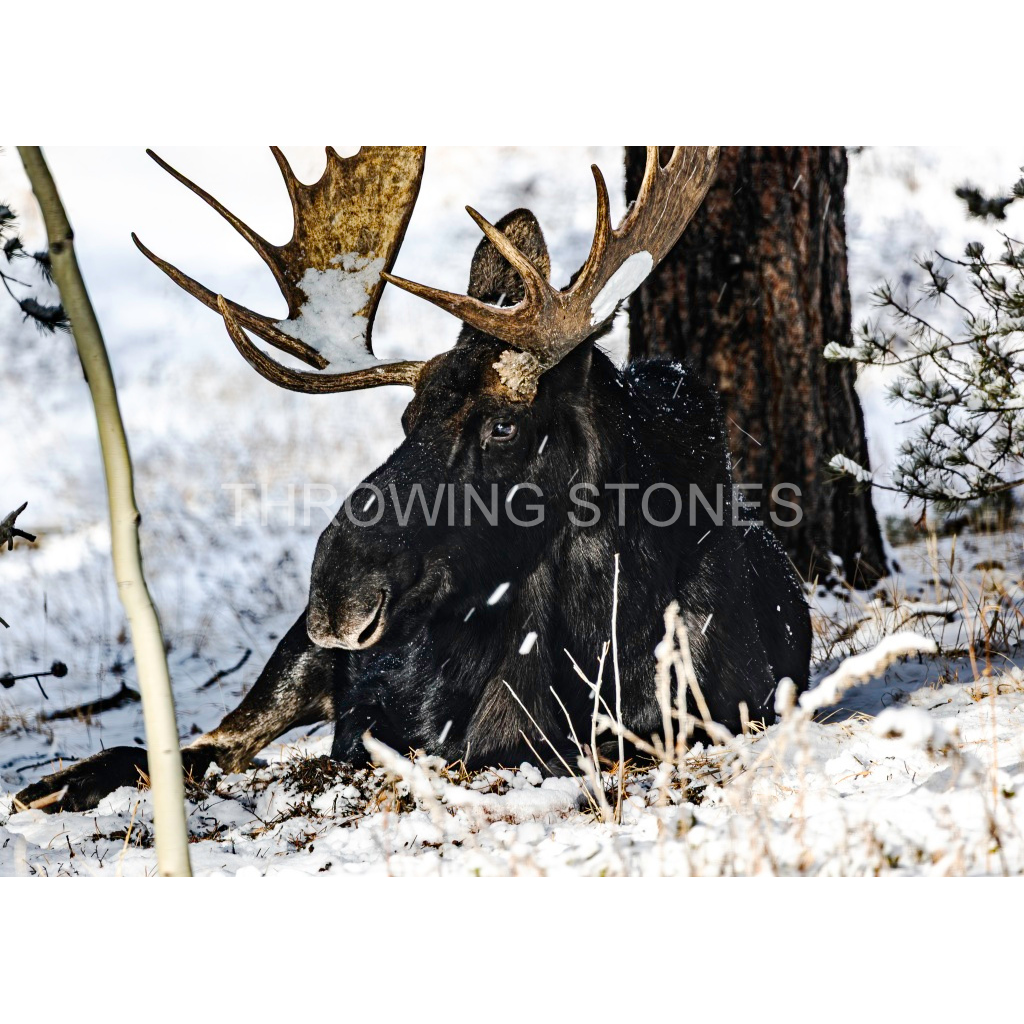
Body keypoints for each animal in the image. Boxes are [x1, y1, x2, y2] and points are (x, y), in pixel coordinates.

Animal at [16, 146, 811, 814]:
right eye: (407, 418)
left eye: (502, 427)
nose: (336, 596)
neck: (610, 630)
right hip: (292, 661)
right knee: (207, 746)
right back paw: (53, 786)